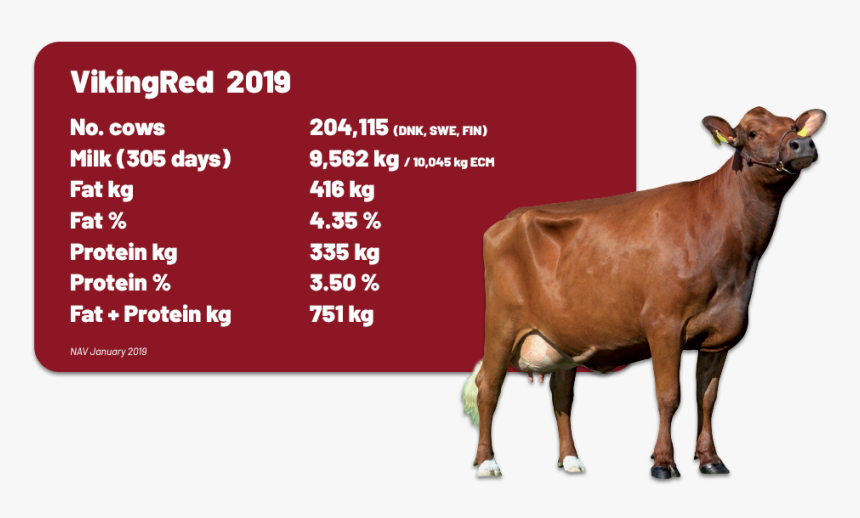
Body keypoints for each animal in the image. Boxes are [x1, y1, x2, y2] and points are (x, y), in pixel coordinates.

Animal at [461, 107, 826, 479]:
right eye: (751, 133)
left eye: (794, 126)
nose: (802, 144)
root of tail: (509, 218)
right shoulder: (664, 325)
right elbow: (669, 395)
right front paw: (663, 462)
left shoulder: (720, 333)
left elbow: (707, 398)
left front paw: (710, 459)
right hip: (501, 323)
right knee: (488, 388)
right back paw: (487, 461)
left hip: (561, 336)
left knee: (560, 394)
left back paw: (571, 460)